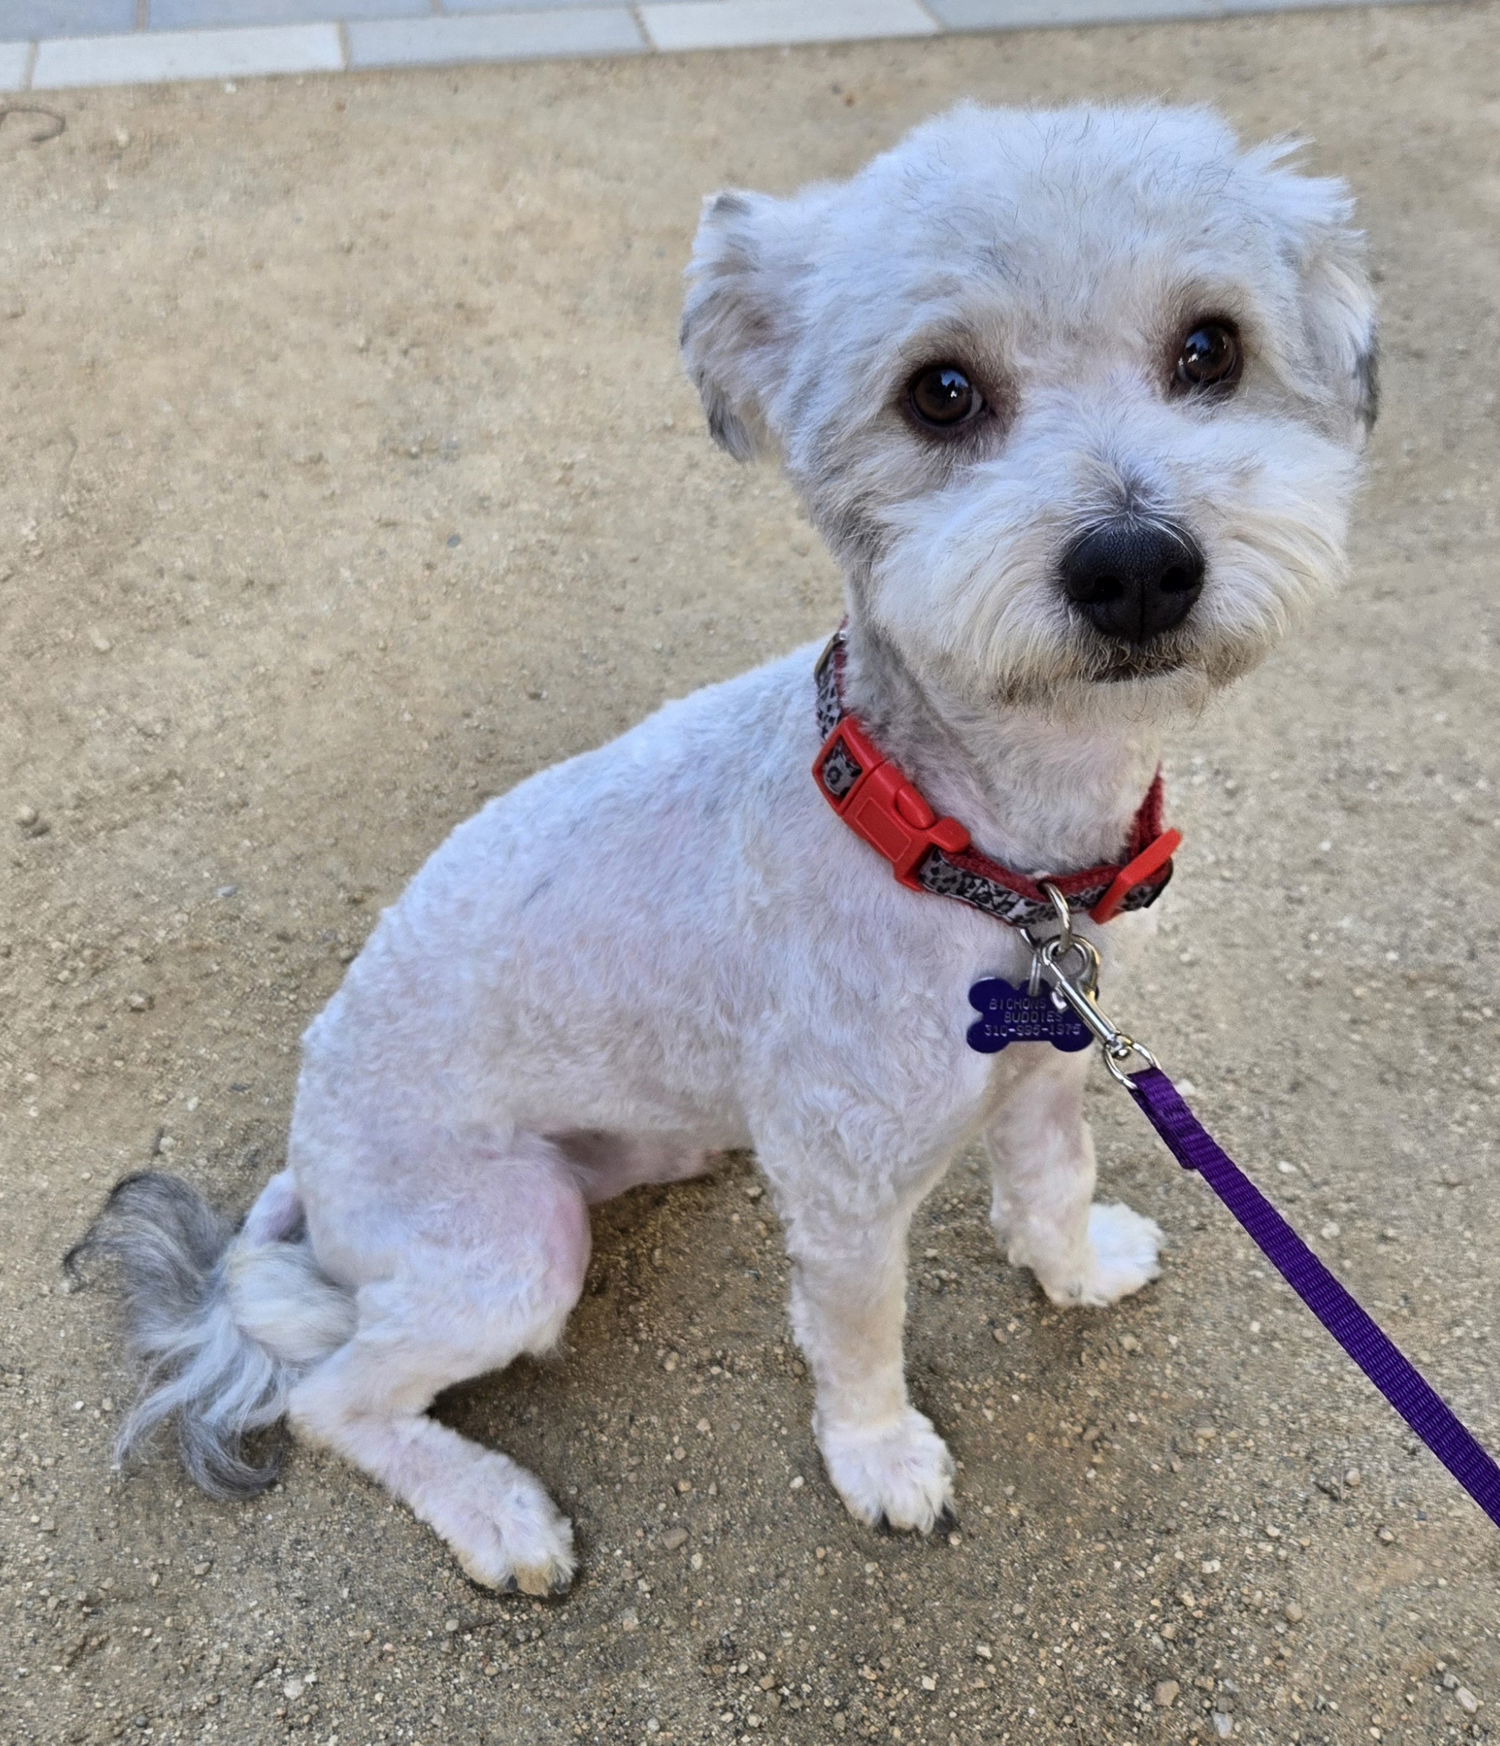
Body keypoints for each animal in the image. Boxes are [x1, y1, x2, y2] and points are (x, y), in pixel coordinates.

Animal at [79, 99, 1376, 1599]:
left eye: (1209, 348)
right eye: (940, 391)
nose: (1136, 566)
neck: (979, 860)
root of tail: (308, 1149)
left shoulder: (1054, 1069)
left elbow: (1055, 1182)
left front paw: (1075, 1268)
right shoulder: (844, 1189)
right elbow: (862, 1335)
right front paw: (881, 1461)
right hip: (513, 1244)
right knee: (333, 1395)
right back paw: (494, 1510)